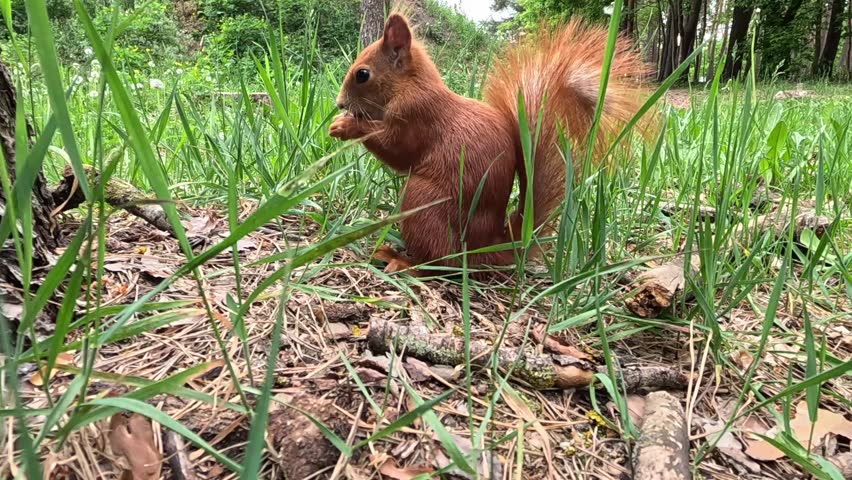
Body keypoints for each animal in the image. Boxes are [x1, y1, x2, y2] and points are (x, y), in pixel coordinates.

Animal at [329, 8, 652, 276]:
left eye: (362, 74)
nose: (339, 104)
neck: (410, 84)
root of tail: (486, 247)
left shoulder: (417, 116)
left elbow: (397, 149)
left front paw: (345, 126)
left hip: (422, 202)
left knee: (441, 263)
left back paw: (402, 261)